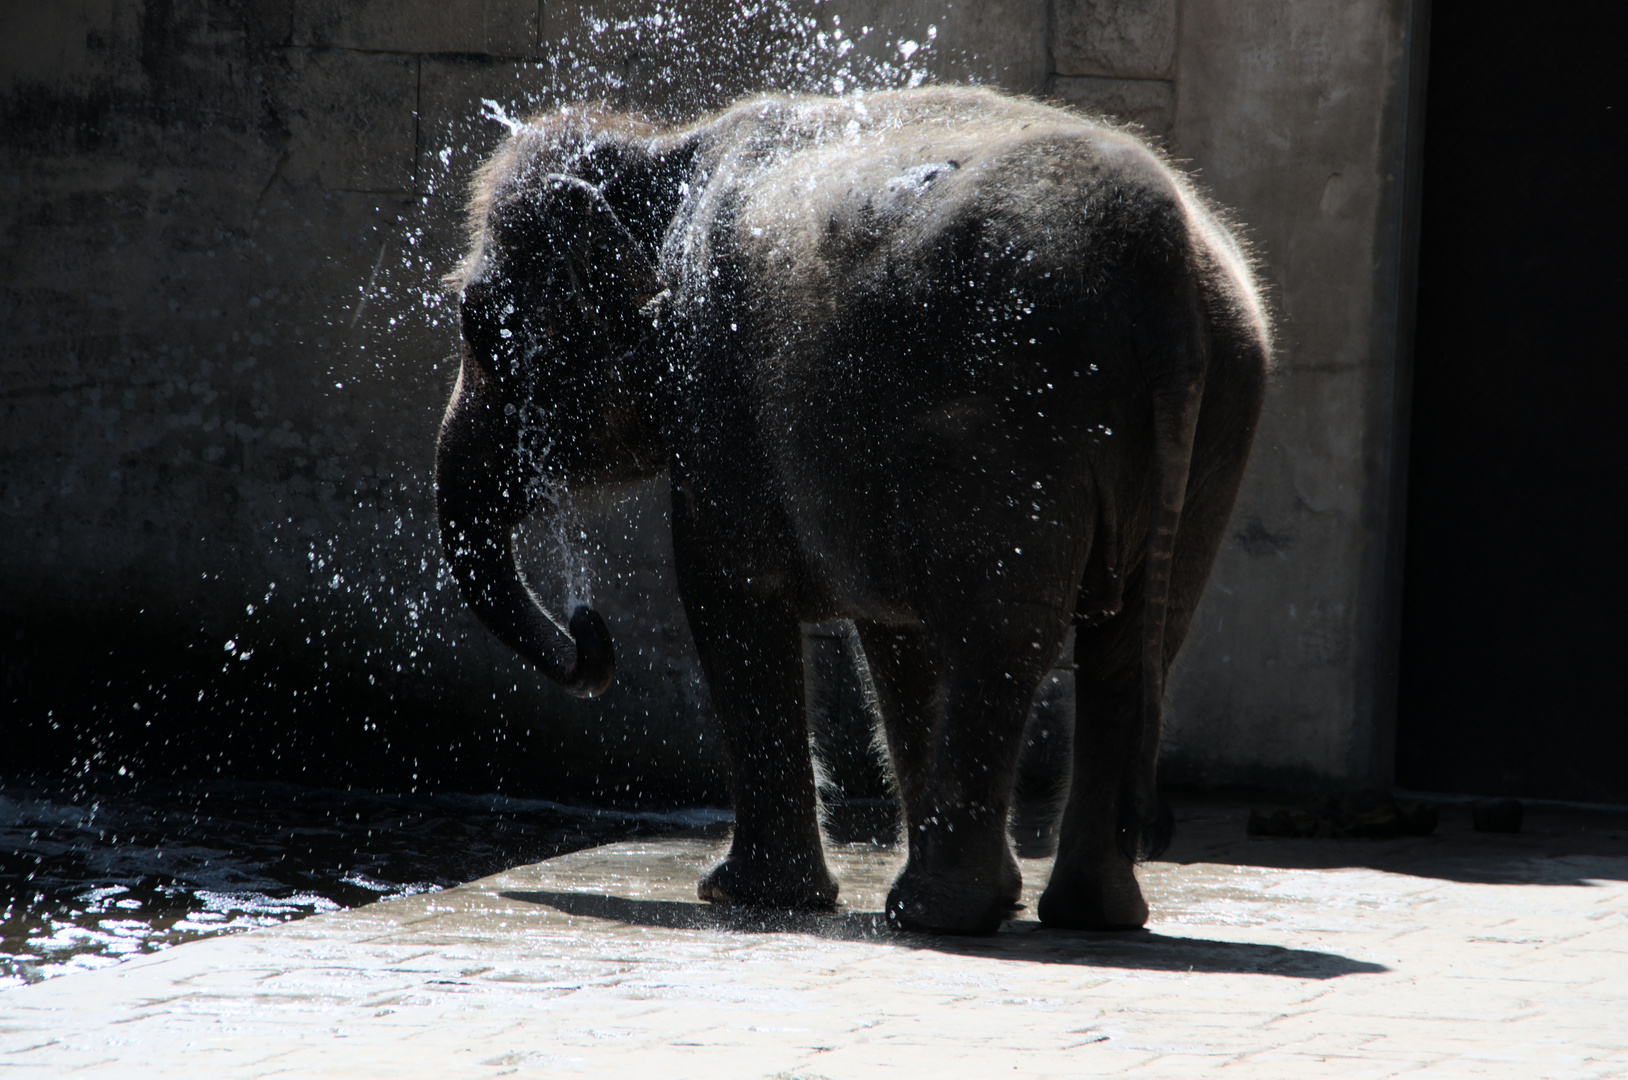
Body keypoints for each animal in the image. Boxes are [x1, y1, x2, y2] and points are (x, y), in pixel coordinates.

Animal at [436, 88, 1269, 938]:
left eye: (477, 322)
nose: (587, 627)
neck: (669, 147)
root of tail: (1161, 264)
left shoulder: (718, 387)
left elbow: (725, 592)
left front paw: (744, 896)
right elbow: (896, 641)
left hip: (1020, 413)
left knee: (1002, 640)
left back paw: (939, 915)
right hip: (1219, 408)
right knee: (1131, 646)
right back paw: (1085, 914)